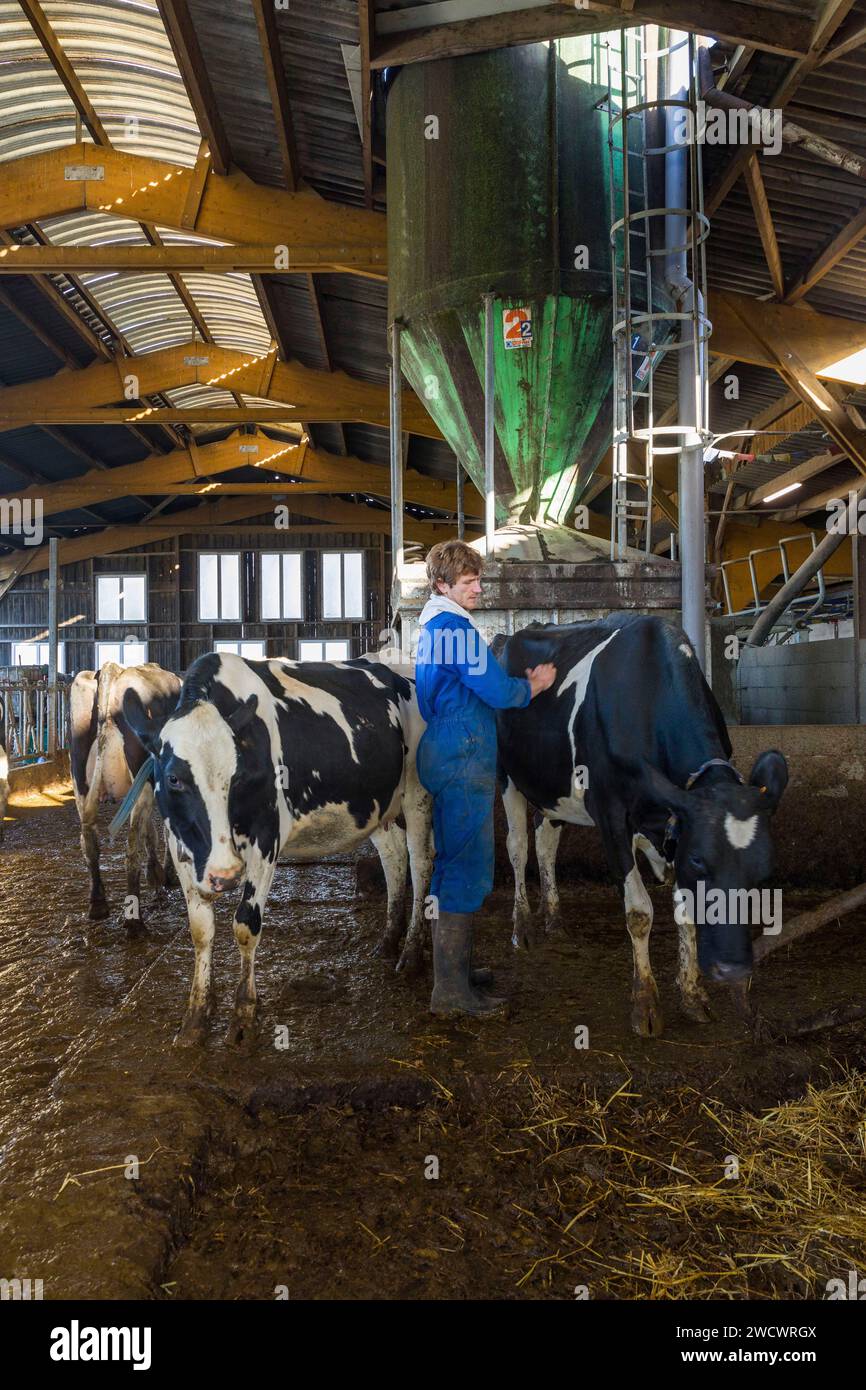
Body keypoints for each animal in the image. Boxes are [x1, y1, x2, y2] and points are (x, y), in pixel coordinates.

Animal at [71, 658, 184, 922]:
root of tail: (113, 671)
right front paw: (165, 875)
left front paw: (158, 877)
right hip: (139, 781)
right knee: (131, 848)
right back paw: (135, 922)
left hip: (80, 780)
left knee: (90, 842)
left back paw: (98, 904)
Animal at [123, 650, 430, 1045]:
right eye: (174, 778)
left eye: (237, 776)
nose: (225, 875)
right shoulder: (182, 847)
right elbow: (201, 929)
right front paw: (197, 1015)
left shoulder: (265, 840)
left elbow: (245, 925)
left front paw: (244, 1015)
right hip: (377, 806)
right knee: (394, 860)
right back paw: (389, 941)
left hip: (418, 795)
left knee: (421, 864)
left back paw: (411, 954)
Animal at [492, 614, 789, 1039]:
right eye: (700, 861)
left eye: (762, 871)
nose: (733, 969)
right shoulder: (611, 814)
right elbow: (639, 912)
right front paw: (645, 1002)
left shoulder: (675, 828)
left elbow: (686, 913)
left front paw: (693, 995)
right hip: (507, 775)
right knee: (517, 847)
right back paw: (524, 928)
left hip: (553, 789)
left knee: (546, 842)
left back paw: (555, 920)